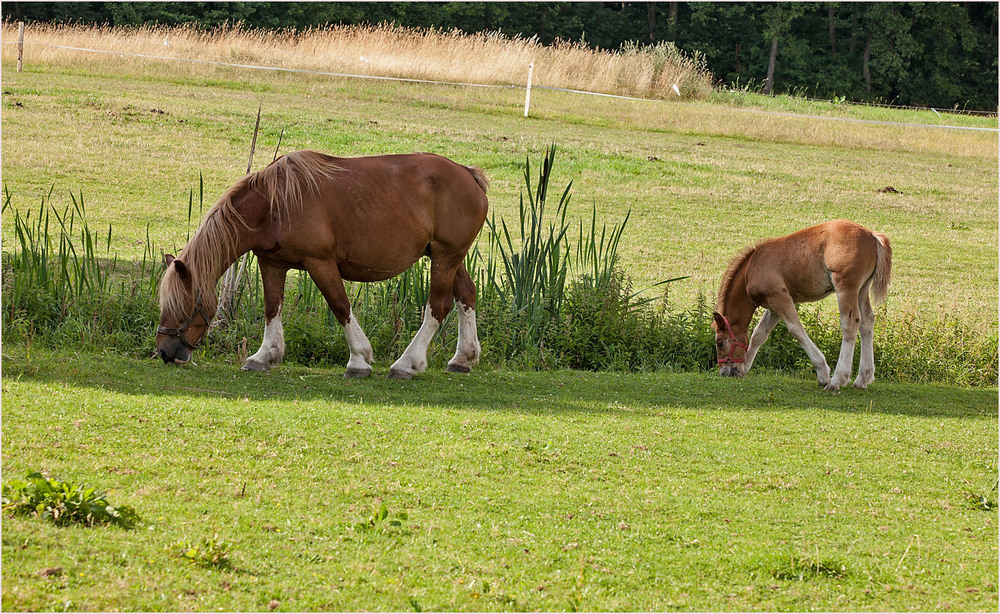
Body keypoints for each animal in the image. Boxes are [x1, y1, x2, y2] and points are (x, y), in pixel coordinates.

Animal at [153, 150, 492, 380]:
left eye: (184, 305)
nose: (165, 352)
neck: (275, 204)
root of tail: (468, 173)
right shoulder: (271, 263)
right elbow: (272, 307)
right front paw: (264, 356)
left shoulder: (320, 263)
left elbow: (340, 306)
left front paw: (359, 360)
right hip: (447, 257)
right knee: (467, 296)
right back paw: (463, 358)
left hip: (445, 258)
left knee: (438, 306)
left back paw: (406, 364)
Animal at [712, 220, 892, 390]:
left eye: (719, 342)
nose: (724, 373)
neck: (751, 269)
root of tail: (872, 235)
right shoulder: (773, 305)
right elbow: (759, 334)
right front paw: (744, 368)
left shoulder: (780, 298)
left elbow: (796, 330)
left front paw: (823, 375)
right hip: (862, 289)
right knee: (867, 322)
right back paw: (862, 379)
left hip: (846, 286)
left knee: (850, 323)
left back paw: (837, 380)